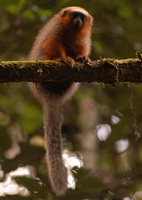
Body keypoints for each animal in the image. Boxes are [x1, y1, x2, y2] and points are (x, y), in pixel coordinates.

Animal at [28, 6, 93, 195]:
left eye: (82, 17)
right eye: (75, 15)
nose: (78, 20)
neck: (72, 31)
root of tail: (51, 97)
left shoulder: (82, 38)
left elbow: (81, 48)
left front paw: (82, 58)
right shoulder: (56, 28)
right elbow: (51, 43)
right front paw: (62, 59)